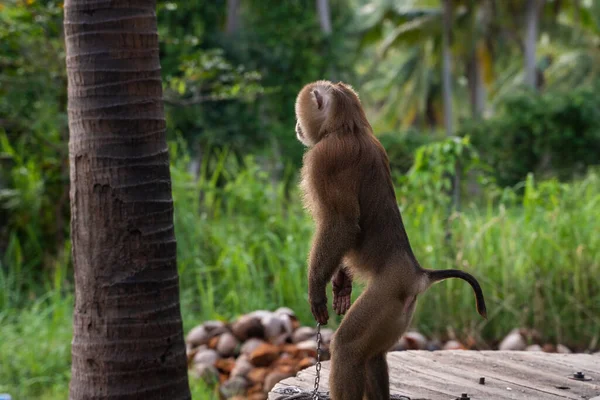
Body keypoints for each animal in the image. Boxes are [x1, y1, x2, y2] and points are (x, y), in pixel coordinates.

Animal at [296, 80, 488, 400]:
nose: (298, 127)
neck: (348, 128)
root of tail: (417, 274)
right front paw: (341, 285)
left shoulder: (326, 158)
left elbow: (342, 225)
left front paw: (317, 289)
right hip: (399, 309)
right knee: (372, 355)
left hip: (388, 293)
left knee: (349, 348)